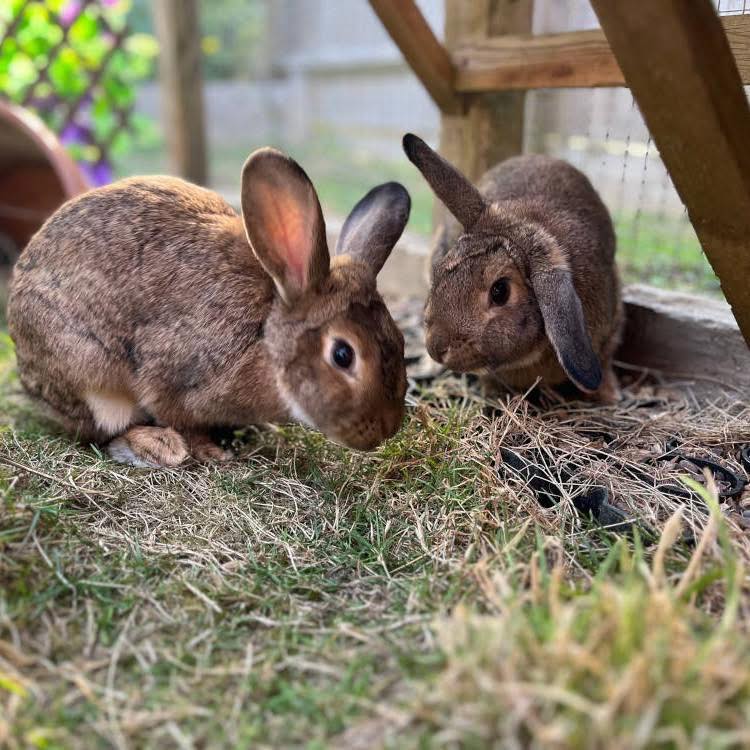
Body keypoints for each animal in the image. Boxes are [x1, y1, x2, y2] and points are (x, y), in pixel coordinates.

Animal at [7, 147, 411, 467]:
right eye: (343, 355)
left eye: (400, 340)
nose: (384, 430)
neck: (266, 336)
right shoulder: (173, 377)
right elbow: (180, 418)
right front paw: (211, 451)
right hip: (88, 375)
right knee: (99, 428)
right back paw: (159, 446)